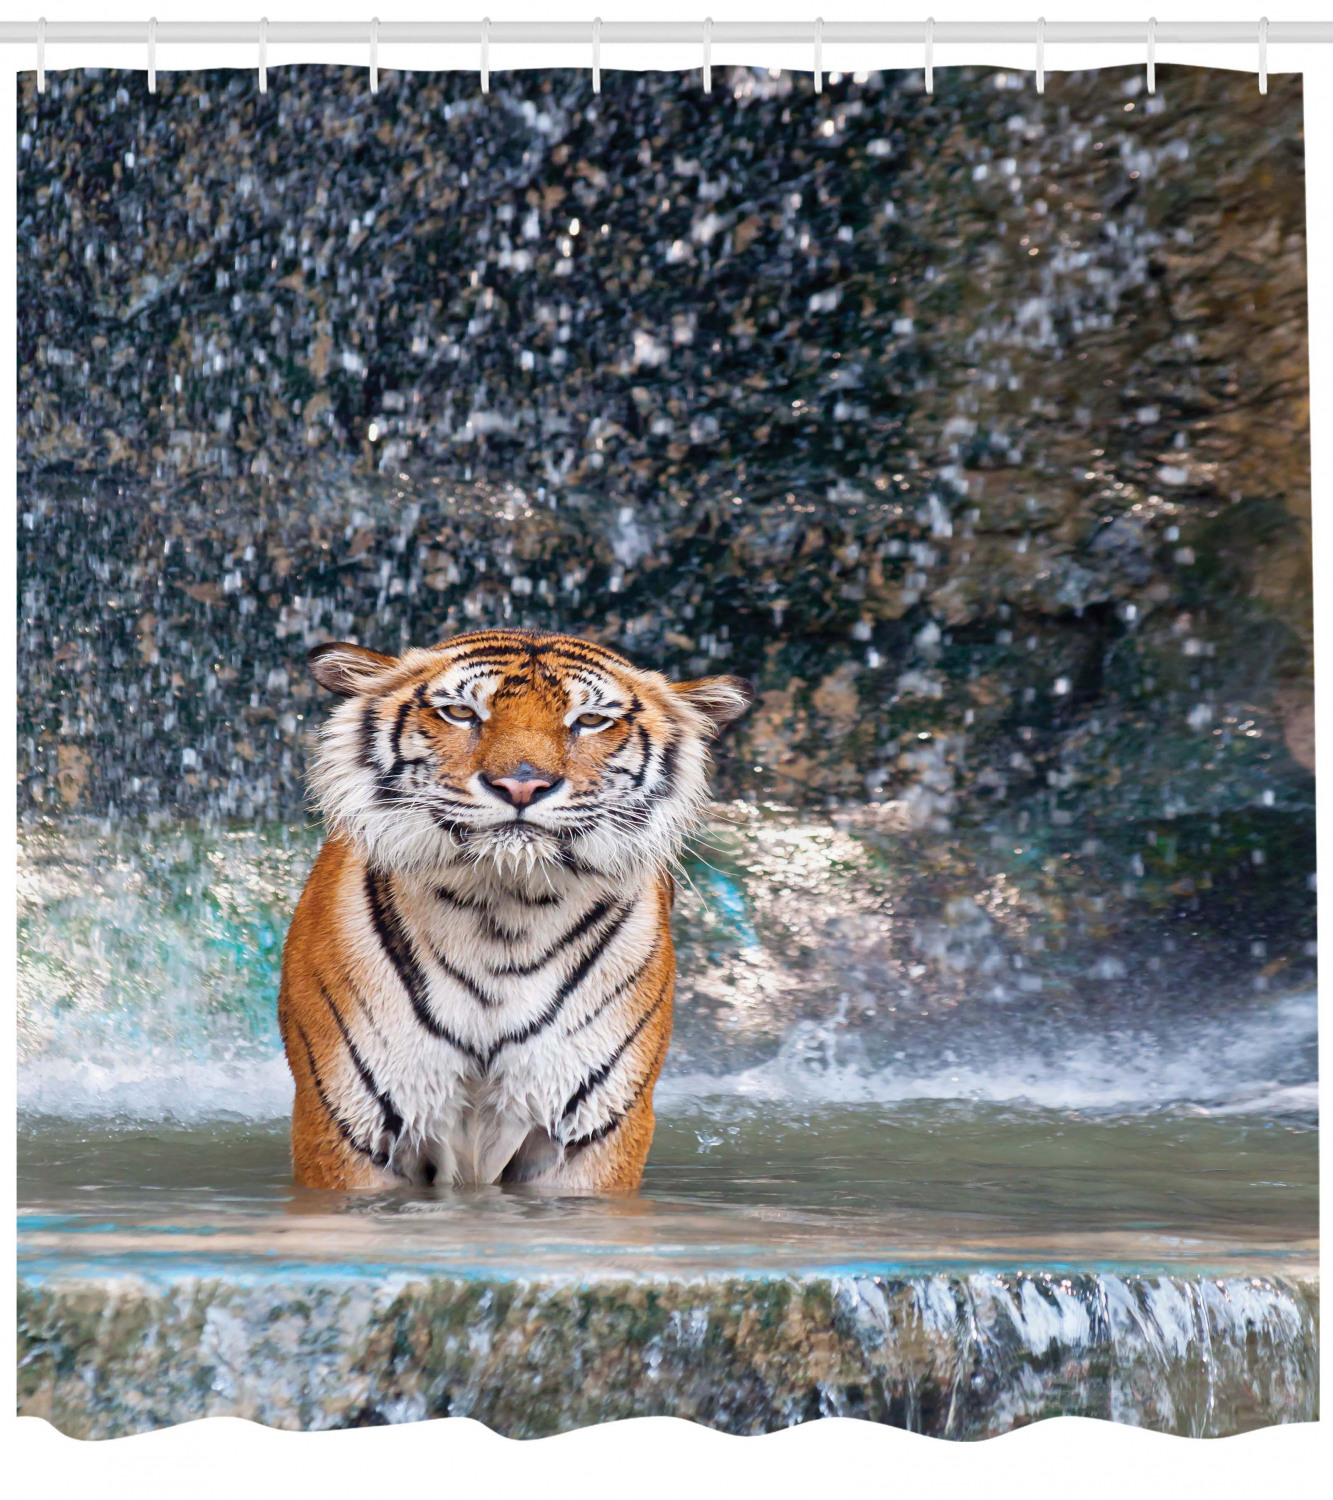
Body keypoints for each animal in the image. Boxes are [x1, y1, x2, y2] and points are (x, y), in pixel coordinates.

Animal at [278, 628, 751, 1193]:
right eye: (461, 713)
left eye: (590, 720)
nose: (522, 785)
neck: (502, 914)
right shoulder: (347, 1125)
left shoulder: (593, 1133)